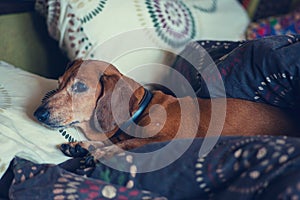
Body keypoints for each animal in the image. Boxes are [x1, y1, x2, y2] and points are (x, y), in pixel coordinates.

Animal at [34, 59, 298, 159]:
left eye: (80, 86)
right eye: (58, 83)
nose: (38, 113)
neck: (141, 111)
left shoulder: (171, 137)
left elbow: (127, 144)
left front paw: (98, 151)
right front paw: (82, 146)